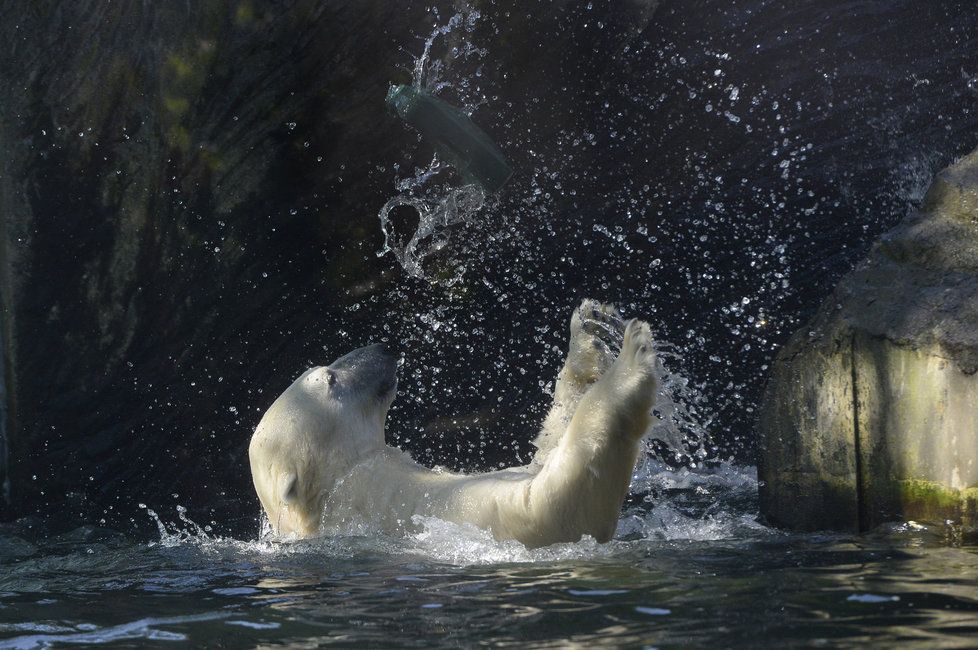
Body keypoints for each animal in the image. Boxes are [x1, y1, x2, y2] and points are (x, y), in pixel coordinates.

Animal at [246, 300, 656, 548]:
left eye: (323, 368)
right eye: (329, 378)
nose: (383, 348)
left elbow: (542, 455)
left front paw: (587, 334)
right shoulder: (405, 504)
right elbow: (556, 504)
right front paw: (634, 354)